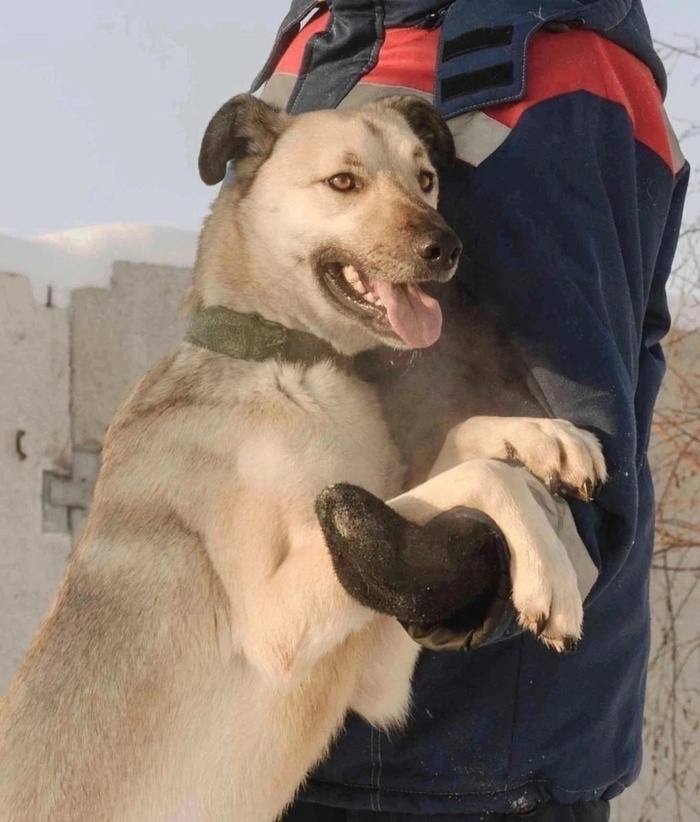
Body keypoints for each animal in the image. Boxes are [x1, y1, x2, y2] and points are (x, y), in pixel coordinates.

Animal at [0, 95, 605, 822]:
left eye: (426, 178)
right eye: (343, 182)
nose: (447, 248)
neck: (291, 360)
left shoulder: (377, 652)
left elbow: (459, 444)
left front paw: (545, 437)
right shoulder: (276, 626)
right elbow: (479, 475)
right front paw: (551, 578)